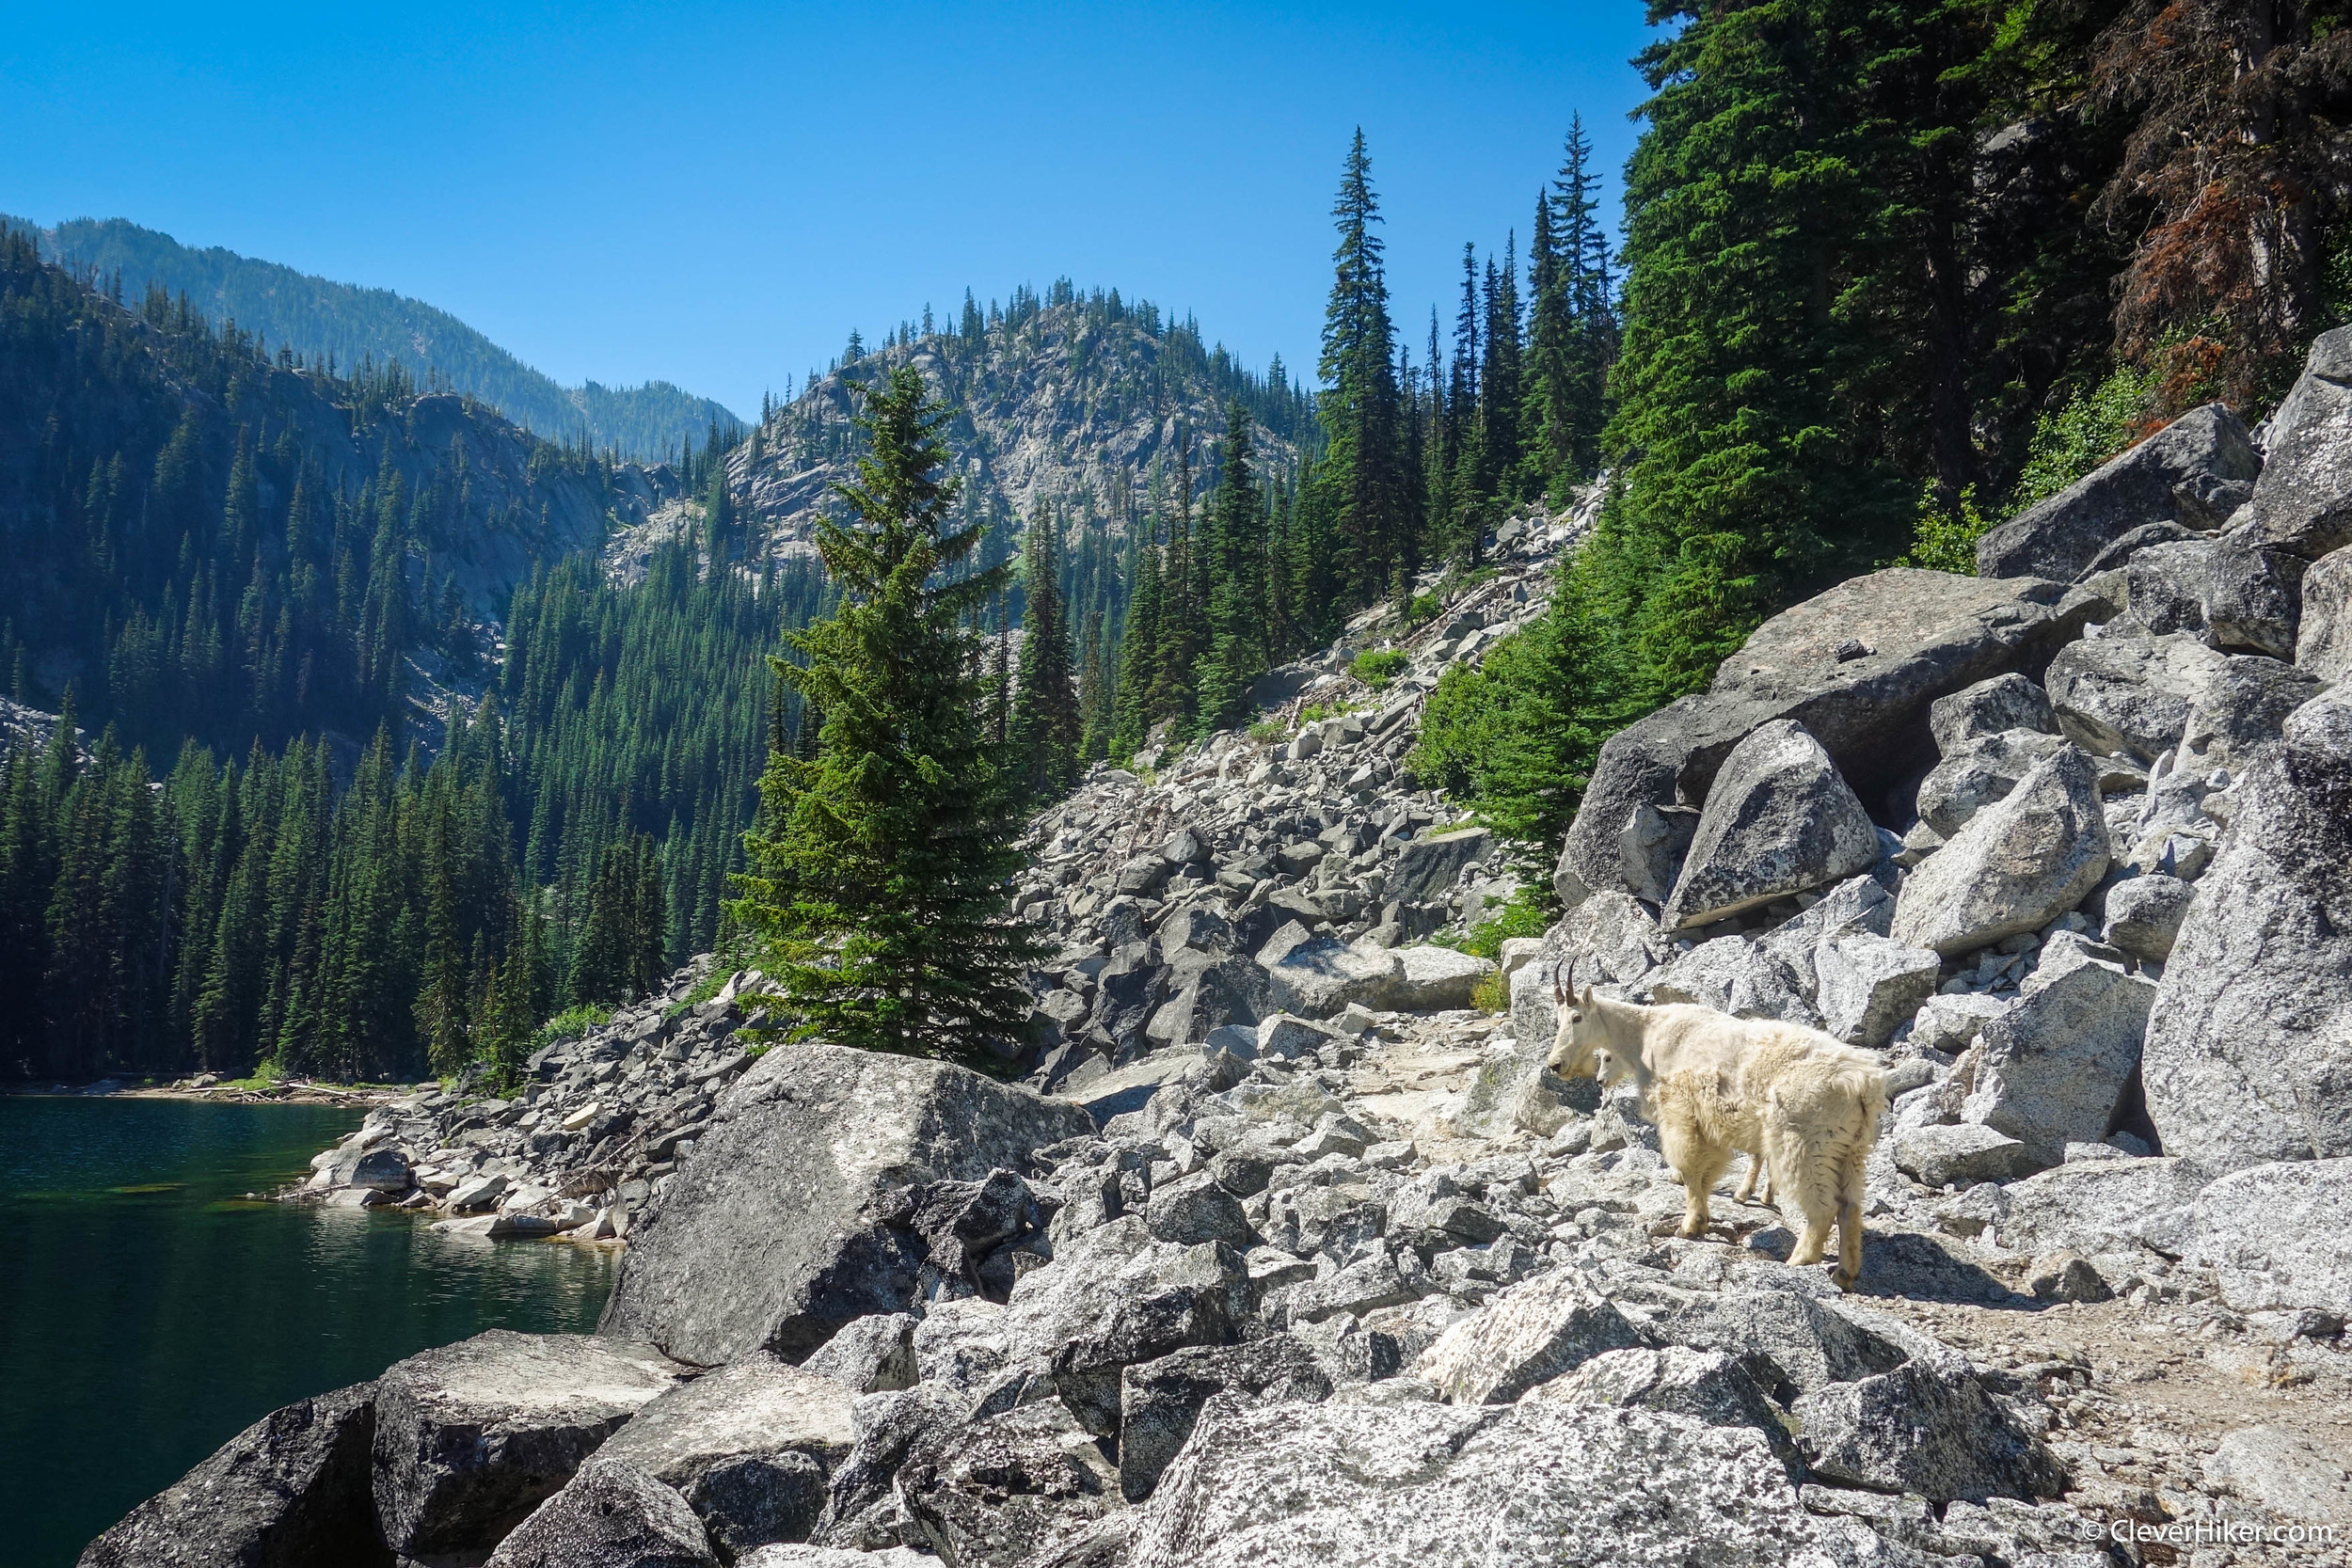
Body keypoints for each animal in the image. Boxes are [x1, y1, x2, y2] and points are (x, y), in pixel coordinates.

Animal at [1543, 987, 1891, 1297]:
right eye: (1557, 1019)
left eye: (1576, 1017)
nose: (1556, 1064)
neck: (1645, 1035)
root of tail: (1862, 1083)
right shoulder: (1708, 1125)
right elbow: (1706, 1172)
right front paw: (1703, 1218)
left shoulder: (1679, 1113)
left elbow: (1689, 1170)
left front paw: (1689, 1226)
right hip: (1851, 1147)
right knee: (1850, 1206)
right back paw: (1845, 1272)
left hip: (1804, 1141)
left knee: (1823, 1206)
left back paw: (1799, 1260)